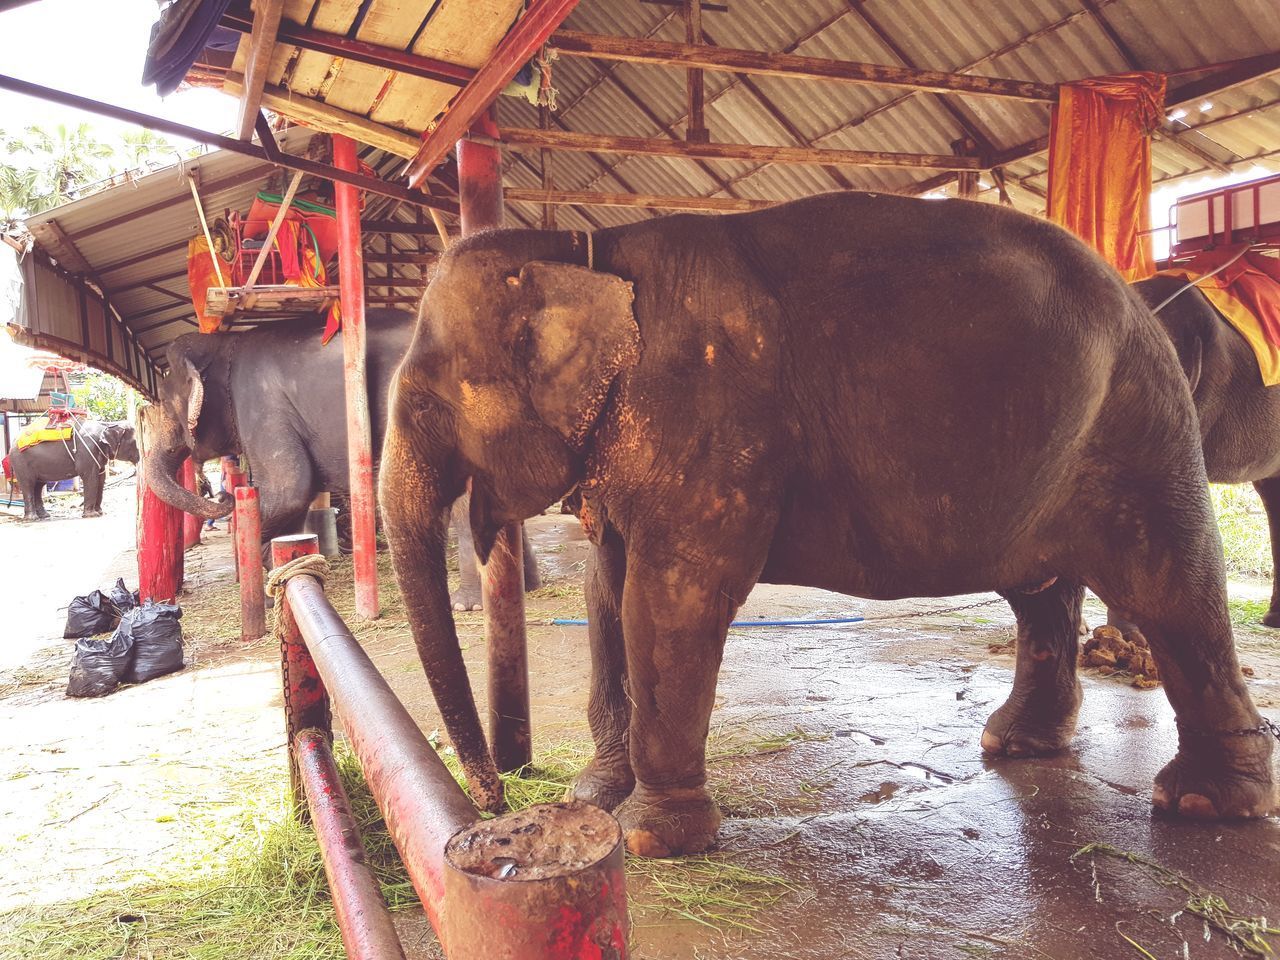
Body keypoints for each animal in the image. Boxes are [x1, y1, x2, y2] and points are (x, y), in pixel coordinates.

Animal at [5, 419, 137, 522]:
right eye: (134, 442)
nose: (138, 459)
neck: (107, 424)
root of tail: (13, 441)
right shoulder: (86, 452)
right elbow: (90, 478)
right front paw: (92, 515)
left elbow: (101, 479)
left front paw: (100, 513)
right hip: (21, 462)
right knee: (28, 484)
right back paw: (32, 518)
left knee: (38, 486)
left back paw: (44, 516)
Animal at [141, 309, 535, 601]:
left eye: (166, 407)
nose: (224, 494)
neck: (222, 343)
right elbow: (296, 500)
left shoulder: (259, 404)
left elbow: (291, 489)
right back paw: (524, 588)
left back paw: (467, 603)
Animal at [381, 192, 1280, 860]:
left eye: (426, 401)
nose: (491, 803)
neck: (583, 245)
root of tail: (1137, 295)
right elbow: (607, 594)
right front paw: (595, 796)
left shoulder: (711, 416)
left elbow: (670, 598)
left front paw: (649, 841)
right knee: (1041, 592)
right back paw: (1017, 747)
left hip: (1140, 423)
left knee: (1169, 582)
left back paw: (1204, 804)